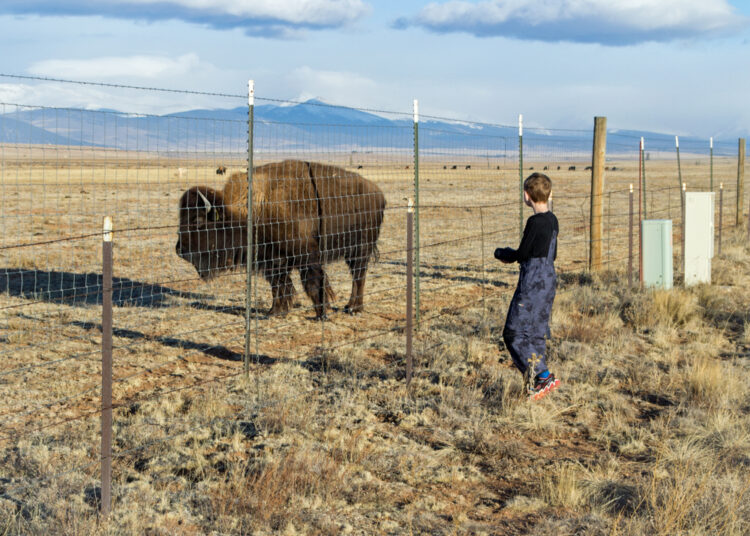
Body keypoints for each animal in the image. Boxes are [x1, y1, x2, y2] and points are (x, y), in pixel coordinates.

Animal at [177, 159, 388, 318]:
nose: (180, 250)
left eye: (197, 222)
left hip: (360, 249)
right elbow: (278, 285)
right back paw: (350, 306)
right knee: (357, 275)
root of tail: (378, 193)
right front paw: (275, 311)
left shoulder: (306, 256)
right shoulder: (272, 260)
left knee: (359, 276)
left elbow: (312, 283)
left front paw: (322, 313)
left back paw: (353, 308)